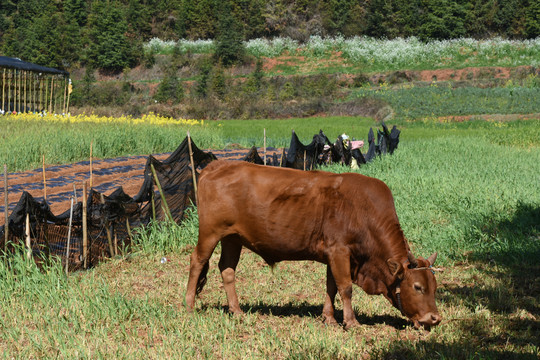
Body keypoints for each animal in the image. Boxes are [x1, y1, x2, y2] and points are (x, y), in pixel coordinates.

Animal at [184, 160, 440, 330]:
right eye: (417, 287)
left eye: (435, 286)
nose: (434, 318)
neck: (363, 211)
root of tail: (216, 165)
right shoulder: (339, 251)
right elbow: (345, 288)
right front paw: (351, 322)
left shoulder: (333, 255)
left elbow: (331, 287)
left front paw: (329, 318)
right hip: (210, 233)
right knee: (197, 261)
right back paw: (189, 305)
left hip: (232, 238)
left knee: (227, 269)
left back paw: (236, 311)